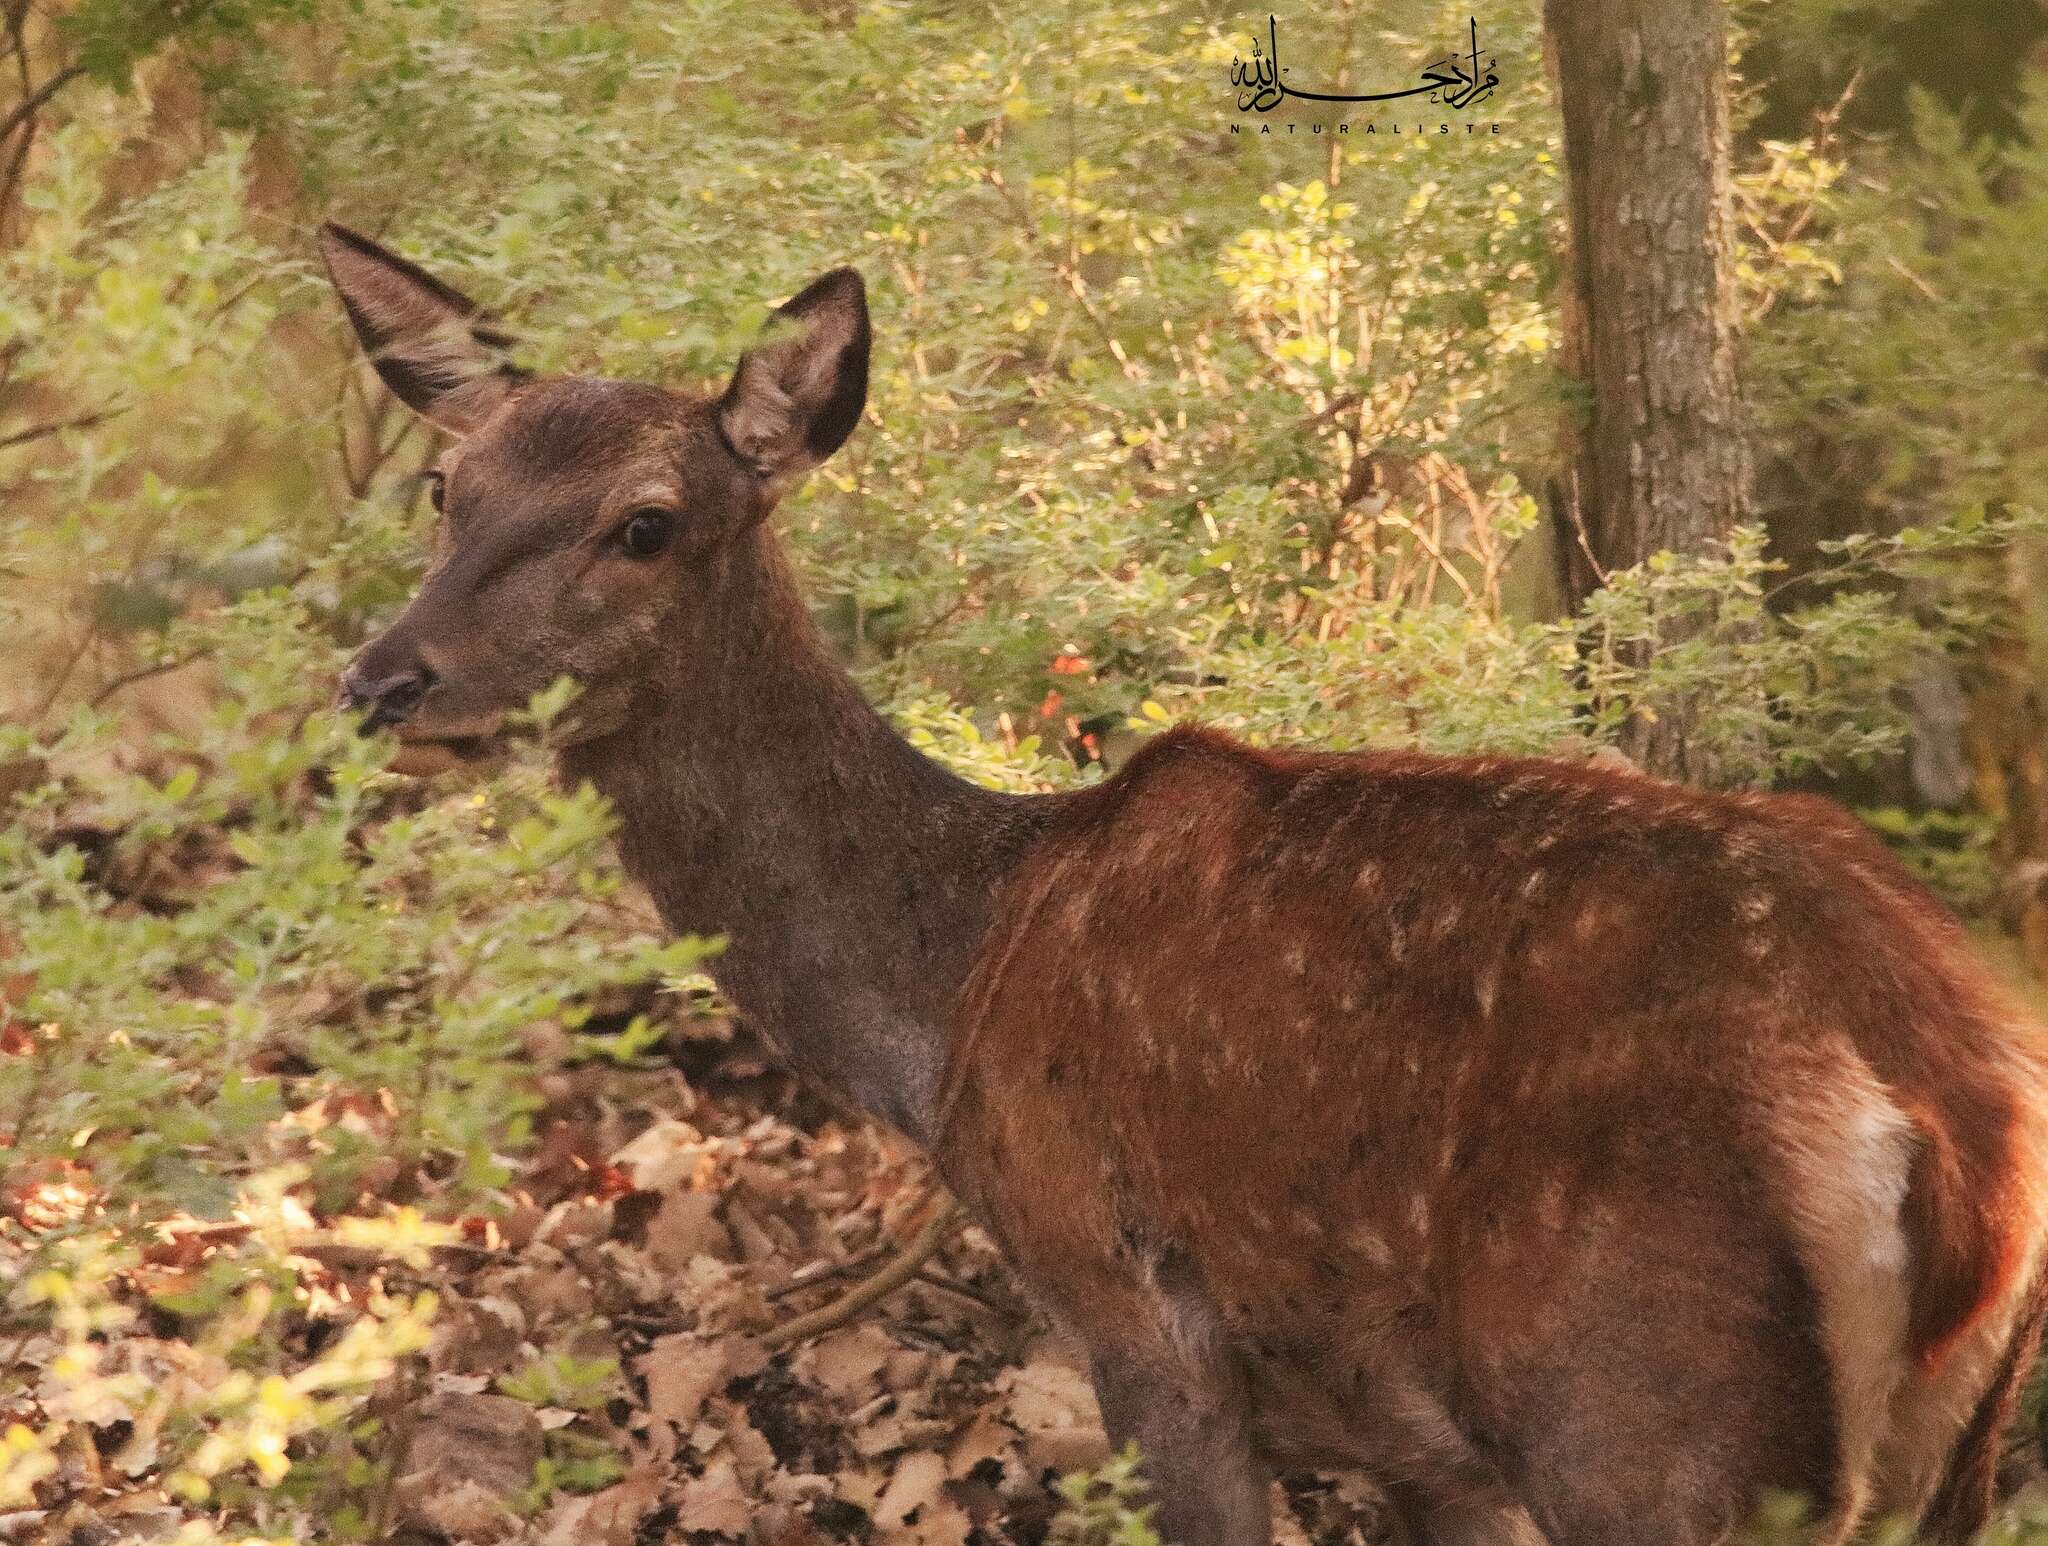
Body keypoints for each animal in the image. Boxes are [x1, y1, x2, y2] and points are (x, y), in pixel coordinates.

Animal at [315, 226, 2048, 1546]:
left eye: (646, 522)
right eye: (447, 492)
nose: (383, 681)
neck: (949, 992)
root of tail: (1951, 1129)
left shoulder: (1134, 1306)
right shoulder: (1417, 1438)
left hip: (1648, 1413)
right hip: (1943, 1455)